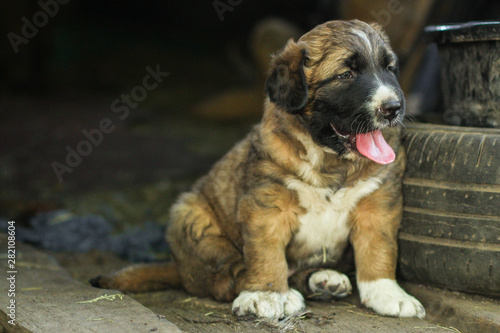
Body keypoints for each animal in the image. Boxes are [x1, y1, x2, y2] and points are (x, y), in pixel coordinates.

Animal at [91, 20, 426, 320]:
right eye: (345, 74)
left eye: (390, 69)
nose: (393, 108)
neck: (331, 161)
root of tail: (180, 270)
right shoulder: (267, 205)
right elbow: (266, 253)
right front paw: (265, 294)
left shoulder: (378, 204)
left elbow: (379, 249)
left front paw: (388, 293)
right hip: (192, 220)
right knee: (228, 276)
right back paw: (282, 290)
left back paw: (323, 280)